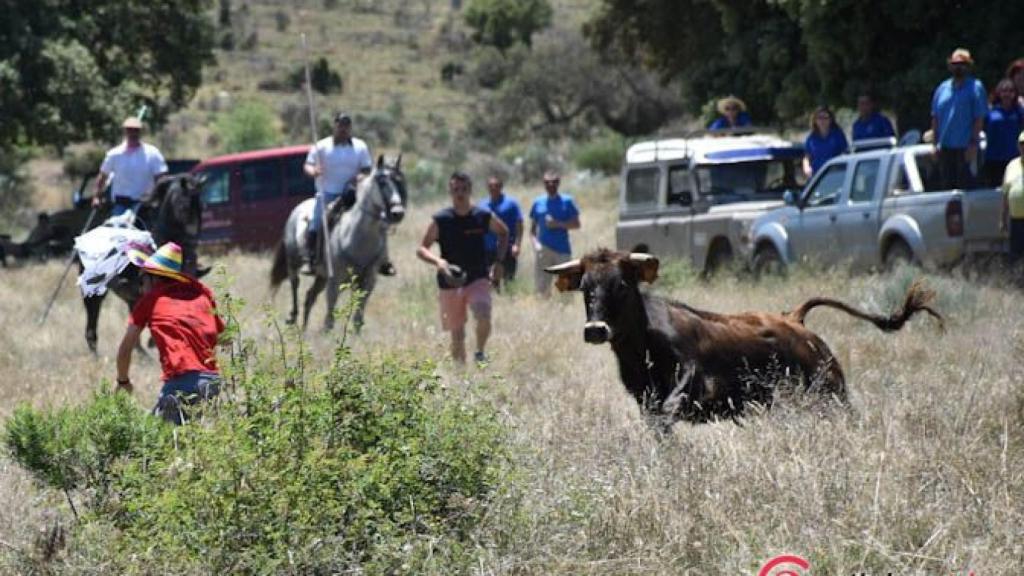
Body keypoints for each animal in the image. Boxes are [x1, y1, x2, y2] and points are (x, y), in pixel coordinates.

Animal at [270, 154, 405, 330]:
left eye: (399, 181)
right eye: (381, 182)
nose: (398, 213)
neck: (358, 239)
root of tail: (297, 209)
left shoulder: (368, 281)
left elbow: (358, 319)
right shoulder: (335, 281)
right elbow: (329, 318)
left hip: (321, 276)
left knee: (309, 297)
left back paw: (304, 330)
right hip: (294, 263)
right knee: (295, 284)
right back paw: (292, 318)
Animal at [544, 249, 942, 424]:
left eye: (622, 285)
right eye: (585, 288)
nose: (596, 330)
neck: (643, 347)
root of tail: (795, 319)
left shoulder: (692, 380)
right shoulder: (645, 401)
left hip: (832, 394)